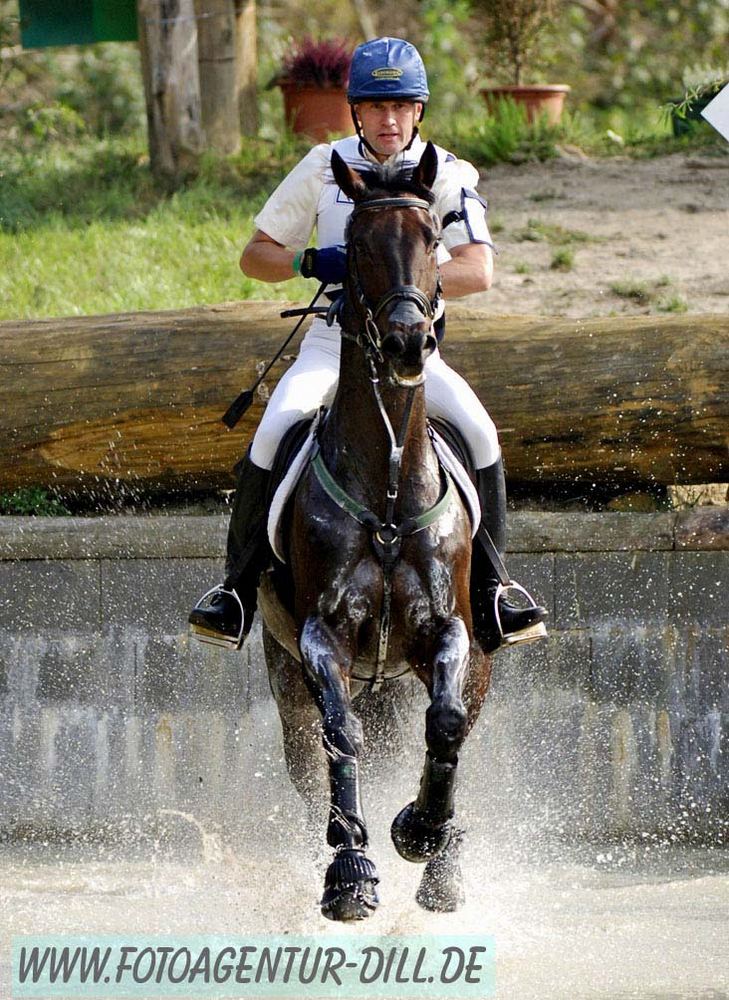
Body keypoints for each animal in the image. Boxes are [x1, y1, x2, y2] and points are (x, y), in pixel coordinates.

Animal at [258, 143, 492, 920]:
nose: (405, 343)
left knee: (454, 726)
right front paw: (351, 869)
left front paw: (420, 832)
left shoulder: (447, 630)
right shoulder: (318, 636)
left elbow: (444, 724)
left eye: (433, 239)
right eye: (354, 246)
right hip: (285, 678)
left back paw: (444, 861)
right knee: (310, 763)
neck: (387, 485)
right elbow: (340, 735)